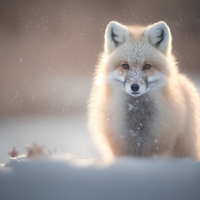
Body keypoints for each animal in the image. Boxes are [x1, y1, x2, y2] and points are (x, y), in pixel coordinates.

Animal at [88, 20, 200, 161]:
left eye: (147, 66)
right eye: (125, 66)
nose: (135, 86)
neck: (138, 125)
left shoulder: (158, 149)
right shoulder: (121, 151)